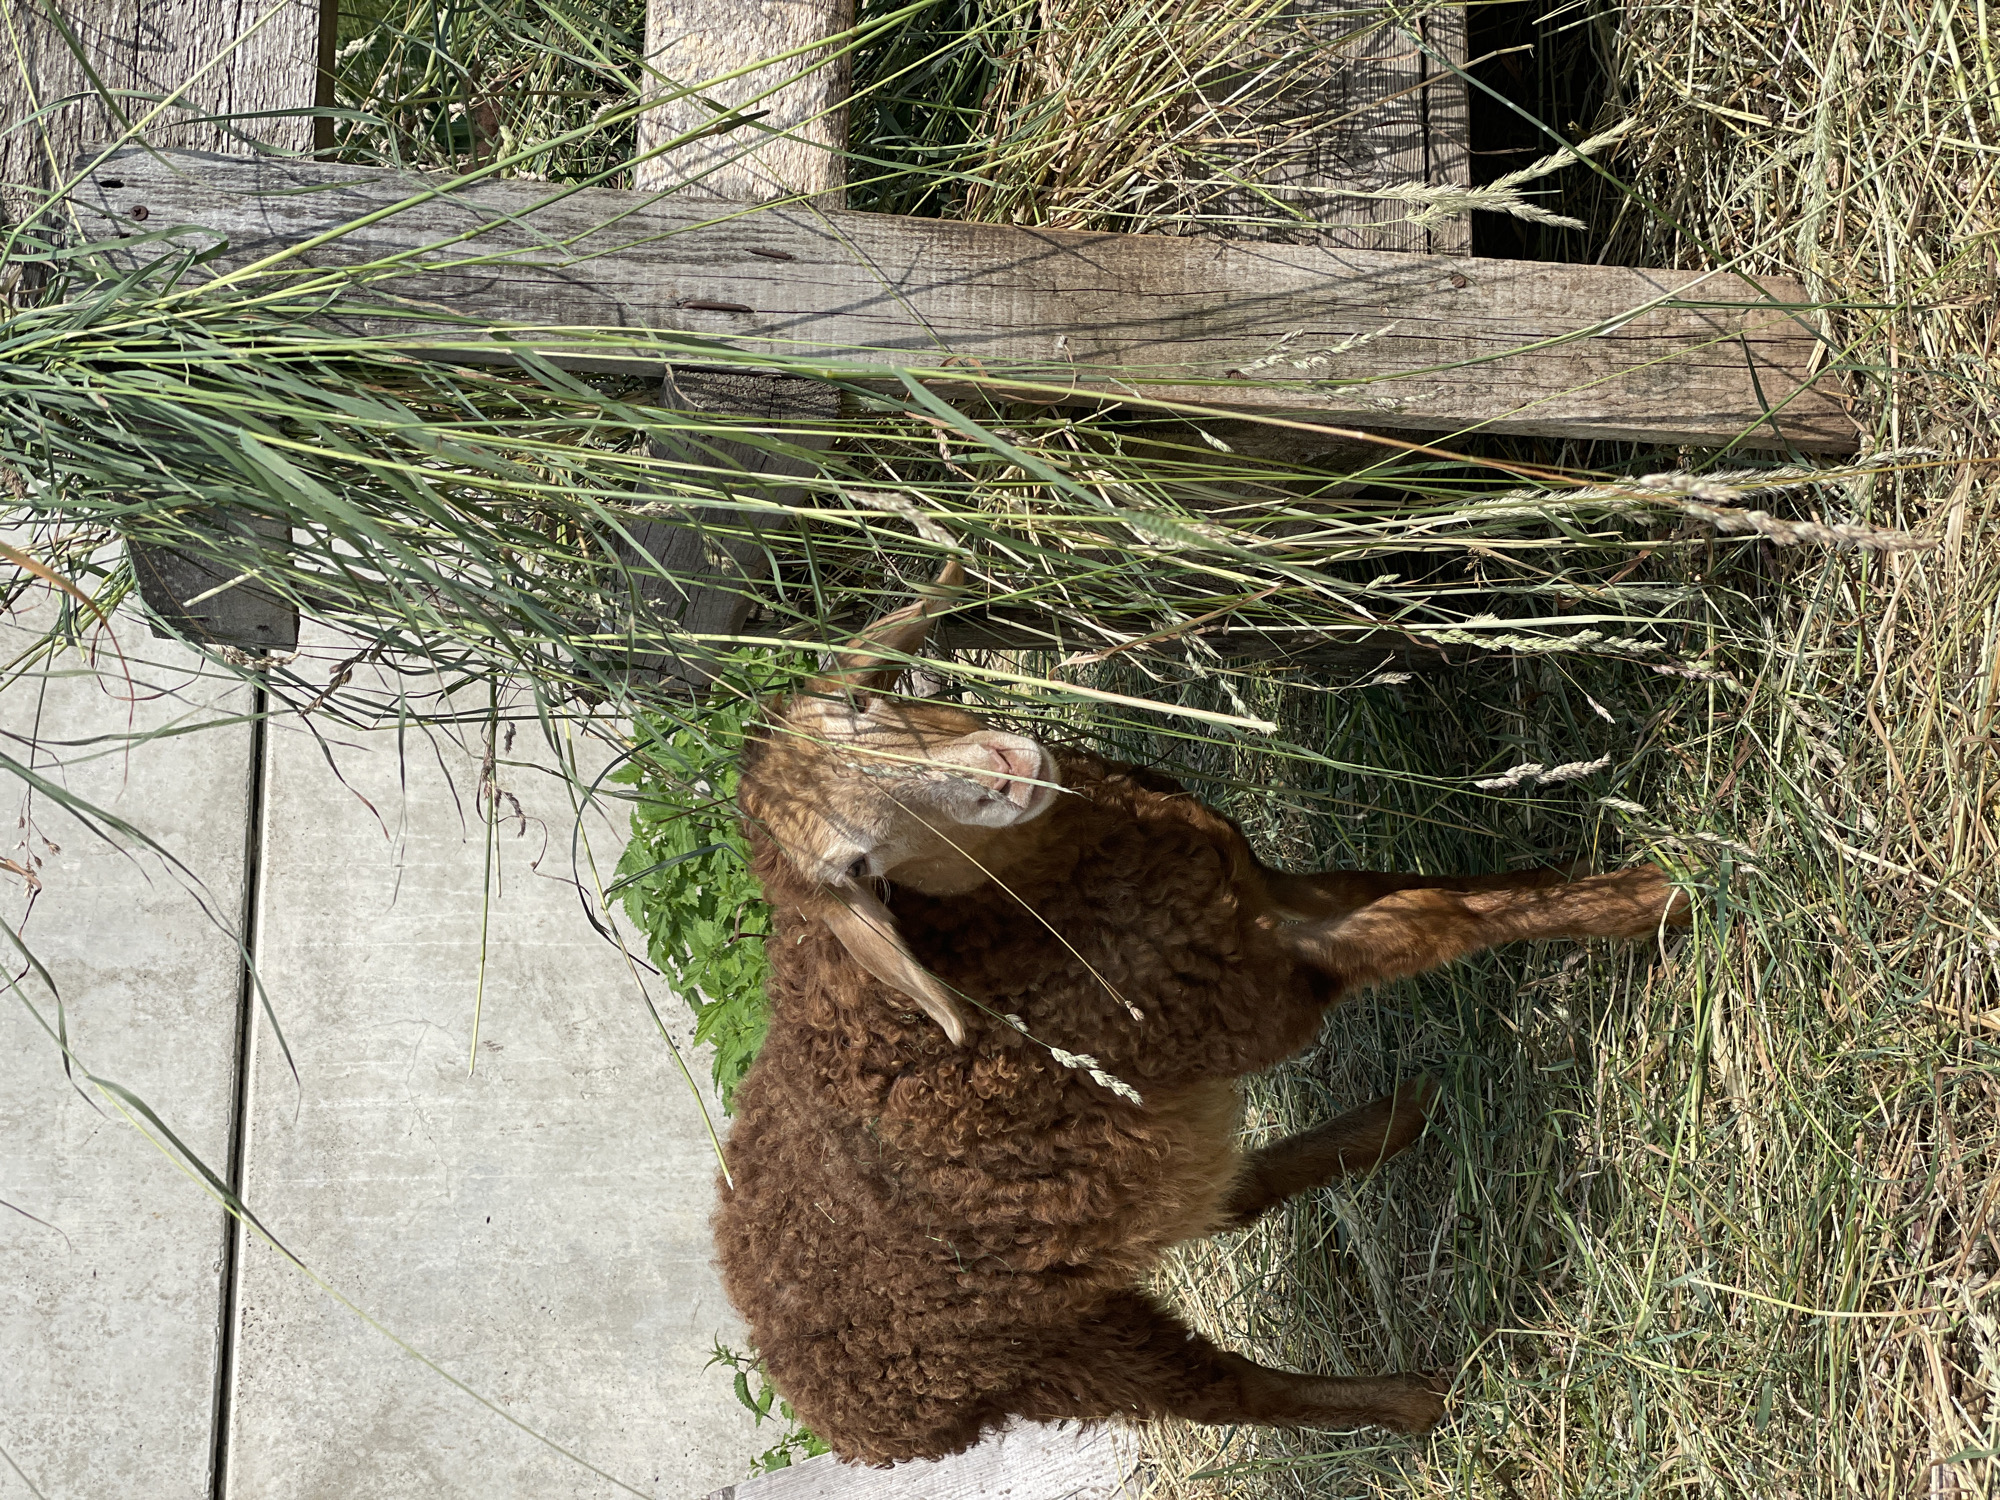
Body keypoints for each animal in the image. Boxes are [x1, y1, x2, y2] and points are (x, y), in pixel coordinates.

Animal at [715, 564, 1688, 1465]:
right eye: (858, 866)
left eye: (862, 702)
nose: (1005, 773)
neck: (1036, 905)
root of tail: (800, 1379)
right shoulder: (1255, 988)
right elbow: (1432, 920)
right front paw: (1659, 897)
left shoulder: (1255, 896)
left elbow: (1419, 888)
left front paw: (1574, 876)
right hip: (1059, 1349)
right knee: (1228, 1389)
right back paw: (1415, 1398)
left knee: (1221, 1200)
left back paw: (1397, 1121)